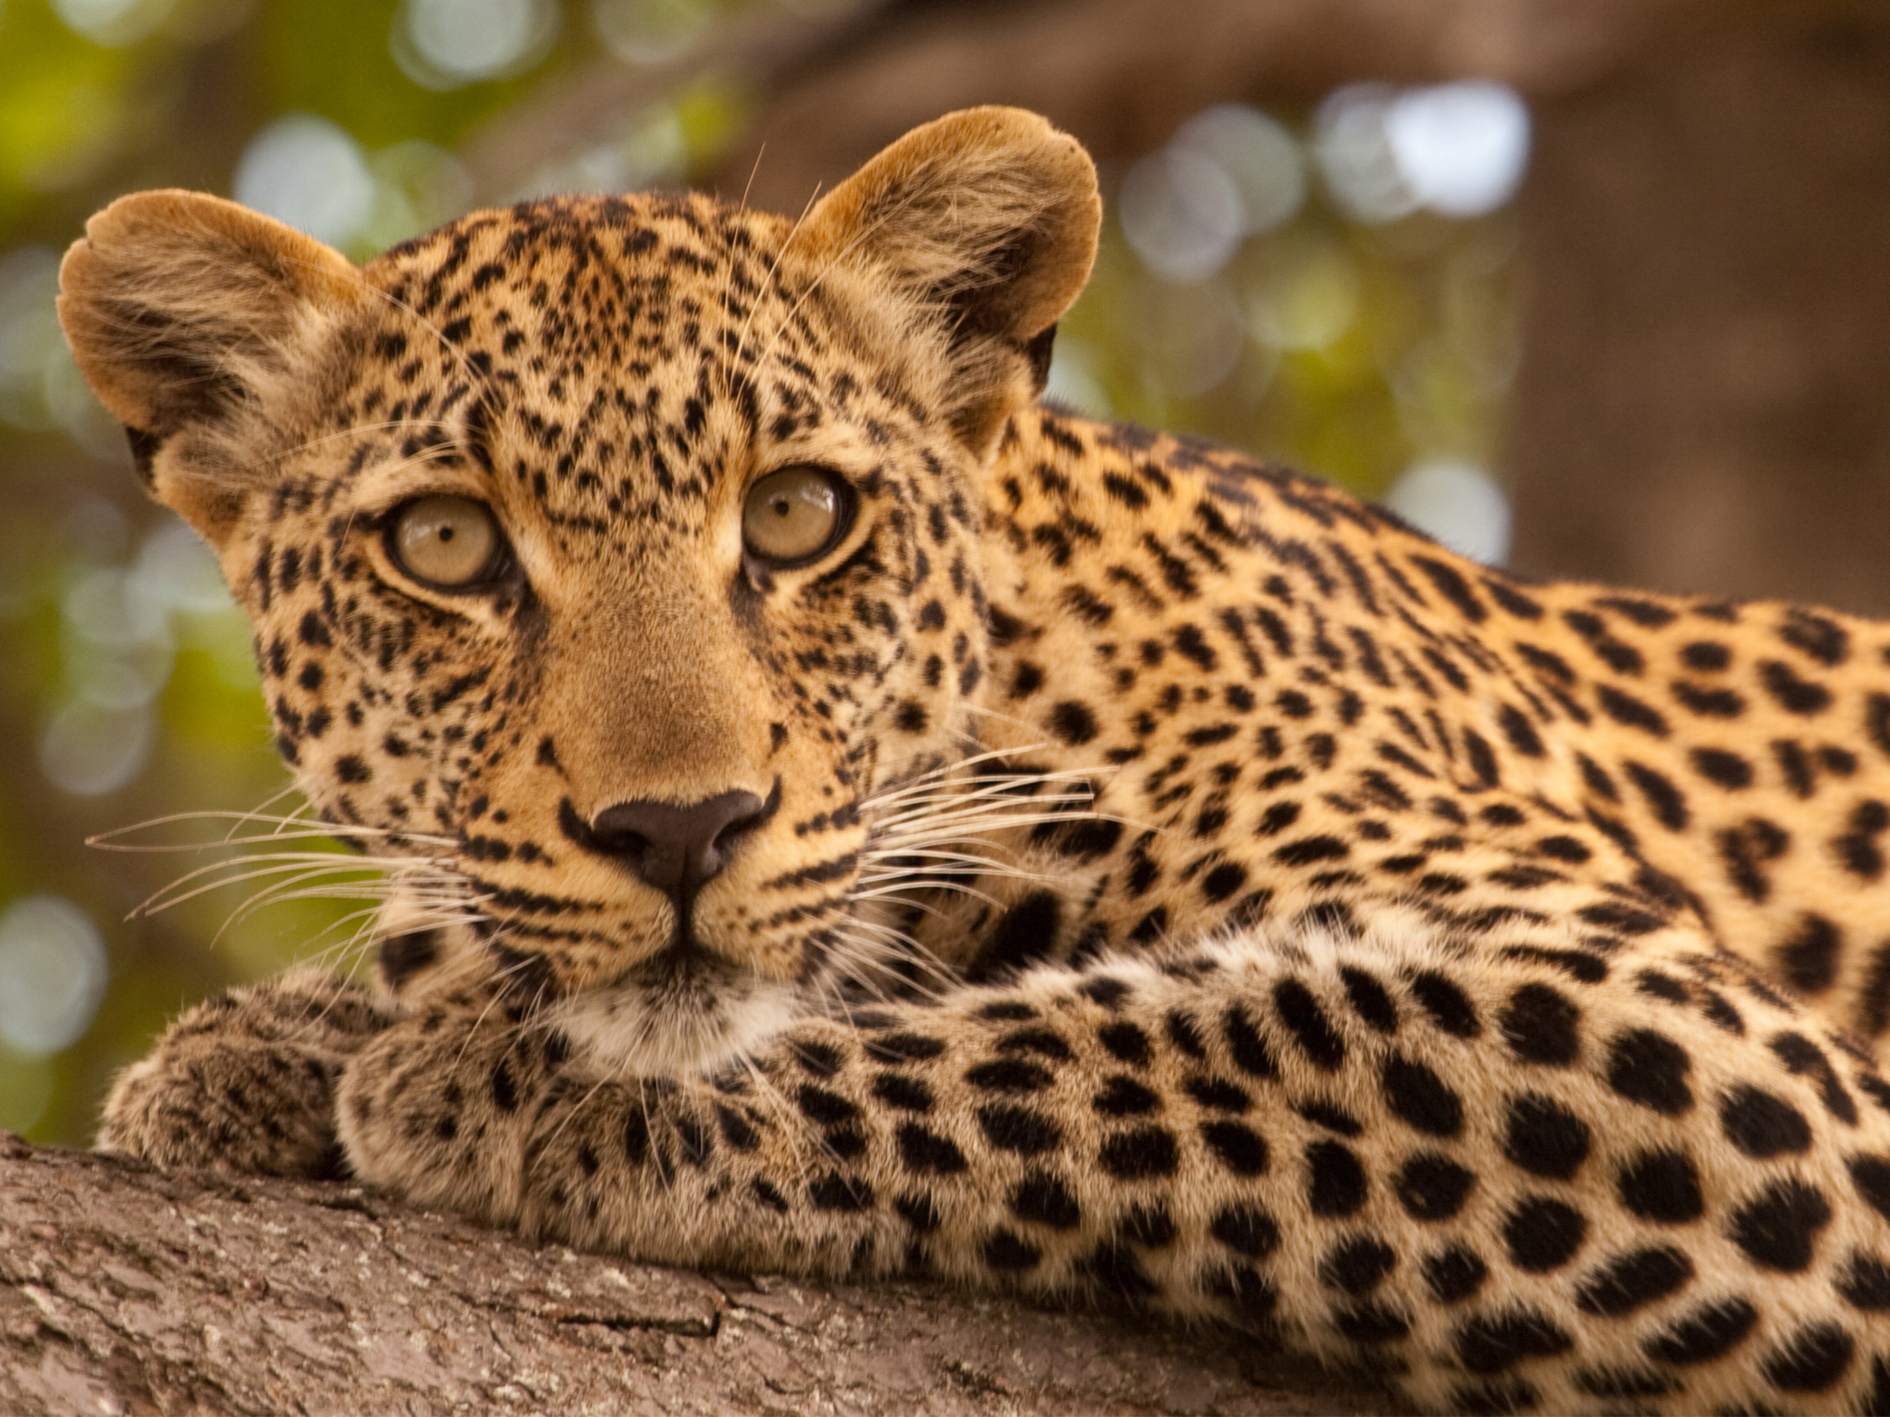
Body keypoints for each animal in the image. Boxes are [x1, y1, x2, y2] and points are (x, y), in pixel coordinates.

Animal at [55, 105, 1890, 1413]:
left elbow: (1170, 1038)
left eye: (800, 513)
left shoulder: (1706, 1045)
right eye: (444, 544)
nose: (680, 828)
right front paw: (262, 1052)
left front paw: (509, 1088)